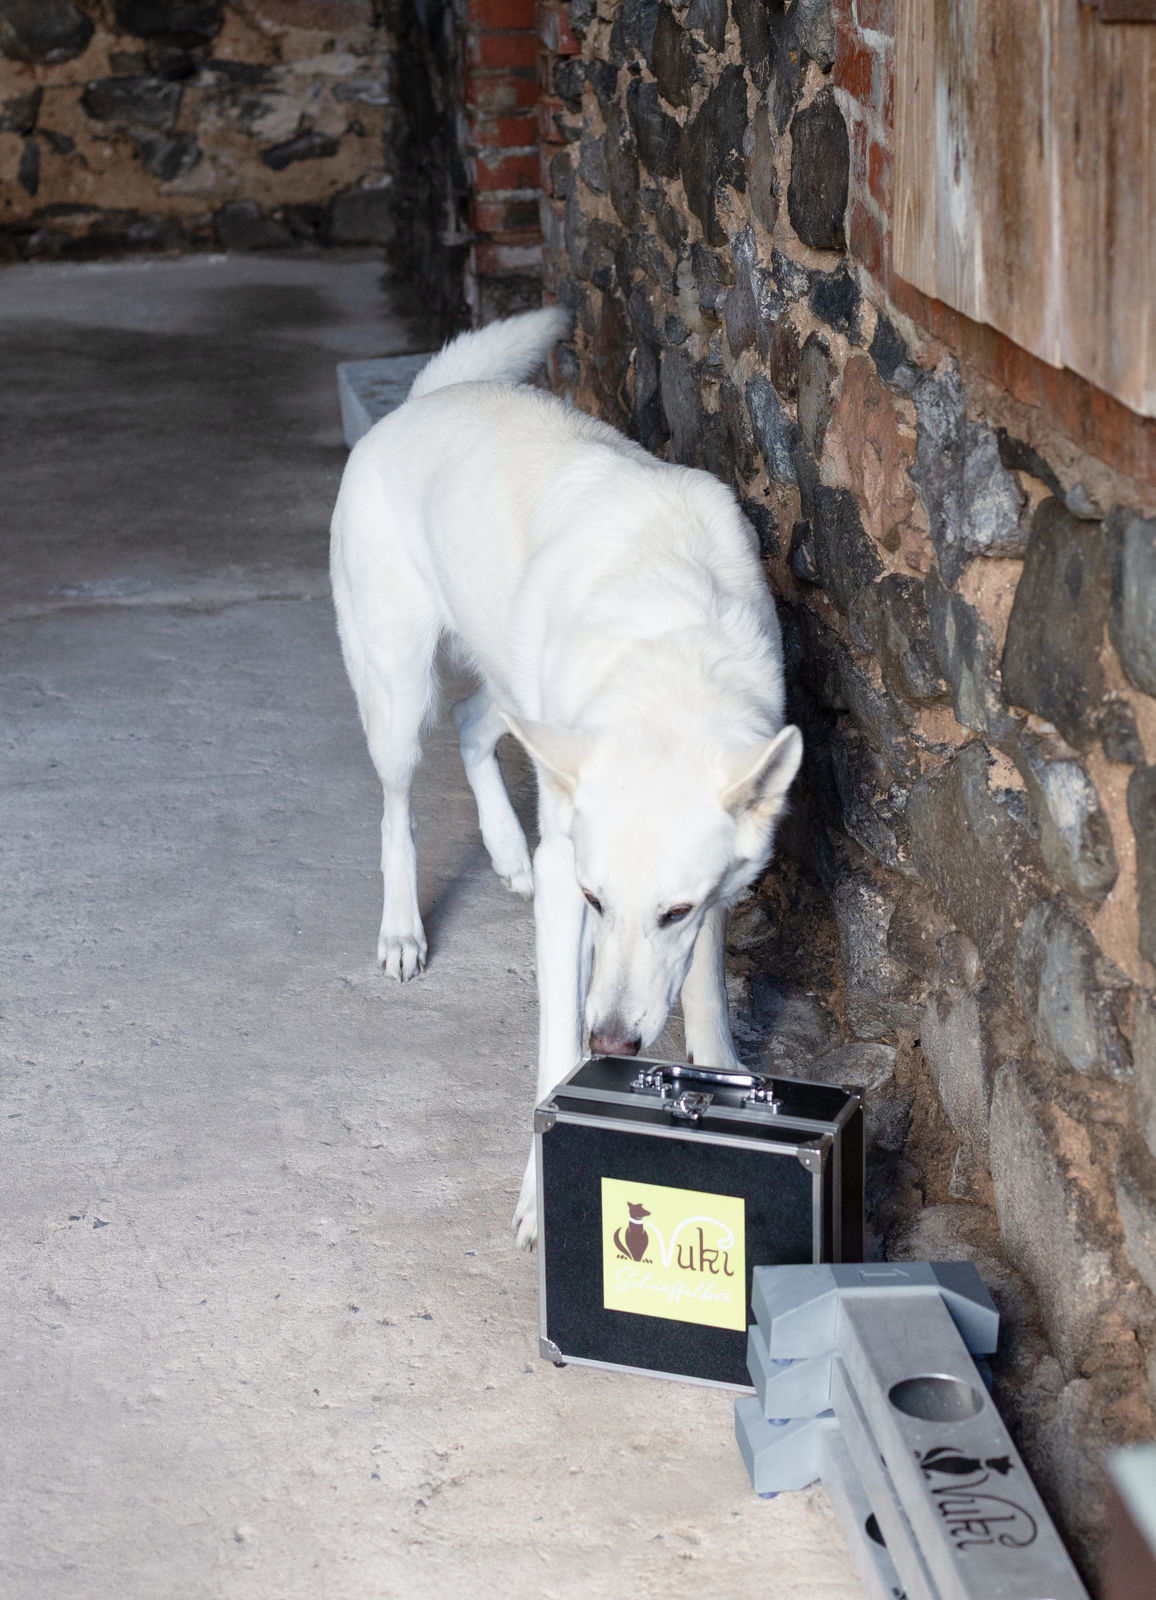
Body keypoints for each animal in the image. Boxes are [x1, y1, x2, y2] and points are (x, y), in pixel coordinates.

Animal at [330, 308, 802, 1248]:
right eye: (594, 900)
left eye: (674, 912)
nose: (615, 1043)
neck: (667, 658)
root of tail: (426, 399)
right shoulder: (566, 888)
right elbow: (555, 1052)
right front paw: (538, 1193)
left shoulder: (715, 894)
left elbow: (704, 995)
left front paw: (721, 1073)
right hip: (398, 696)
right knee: (397, 806)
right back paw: (403, 927)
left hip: (517, 706)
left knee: (477, 728)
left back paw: (505, 850)